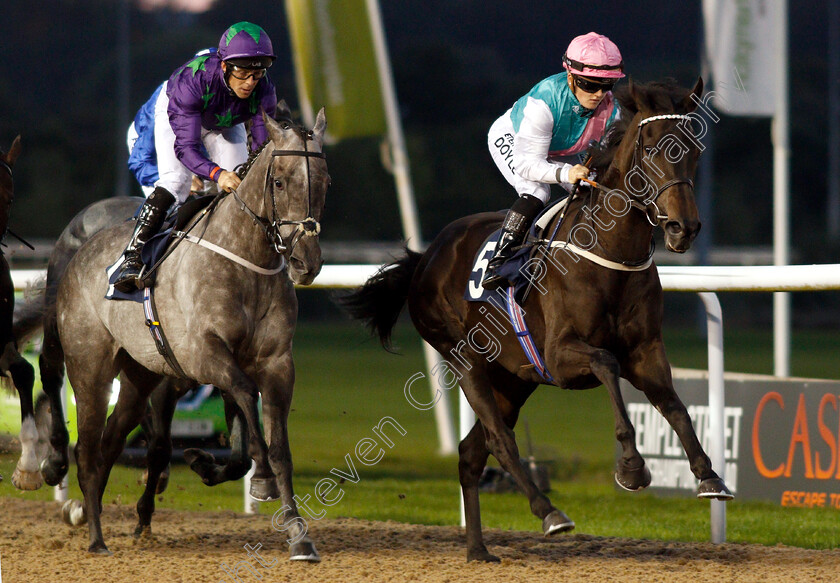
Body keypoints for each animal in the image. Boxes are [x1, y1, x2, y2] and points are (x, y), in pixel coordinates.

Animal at [55, 108, 328, 556]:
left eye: (323, 181)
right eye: (279, 181)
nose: (306, 262)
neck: (246, 261)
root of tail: (81, 252)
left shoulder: (276, 363)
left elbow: (277, 447)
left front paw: (298, 535)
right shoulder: (204, 354)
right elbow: (244, 399)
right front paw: (259, 478)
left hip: (139, 374)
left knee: (111, 439)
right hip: (89, 369)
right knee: (89, 448)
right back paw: (95, 536)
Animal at [340, 80, 728, 564]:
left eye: (694, 149)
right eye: (652, 146)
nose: (684, 227)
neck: (610, 258)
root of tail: (427, 256)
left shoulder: (646, 352)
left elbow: (675, 406)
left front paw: (709, 476)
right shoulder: (561, 358)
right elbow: (606, 363)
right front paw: (632, 467)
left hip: (513, 379)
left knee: (471, 454)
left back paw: (478, 549)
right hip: (464, 359)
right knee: (500, 441)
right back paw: (550, 513)